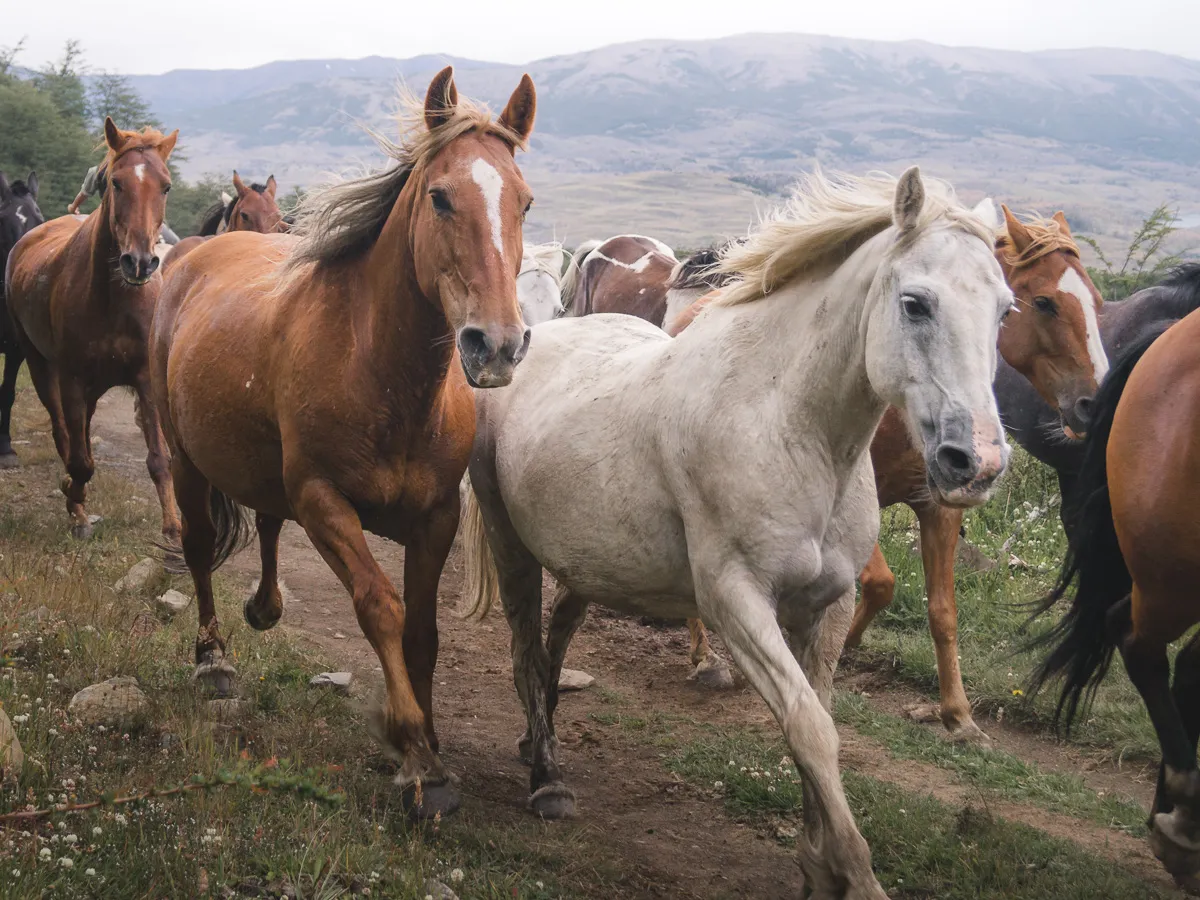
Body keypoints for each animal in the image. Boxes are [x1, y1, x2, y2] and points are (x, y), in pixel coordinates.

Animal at [5, 120, 180, 542]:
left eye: (166, 186)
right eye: (116, 182)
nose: (140, 262)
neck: (115, 297)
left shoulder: (144, 378)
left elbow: (158, 458)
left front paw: (173, 528)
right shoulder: (70, 378)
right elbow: (79, 460)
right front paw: (76, 504)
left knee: (80, 430)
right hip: (41, 366)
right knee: (65, 435)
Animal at [149, 68, 537, 820]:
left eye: (526, 203)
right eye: (441, 196)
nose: (497, 345)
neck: (380, 371)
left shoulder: (437, 516)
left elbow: (422, 628)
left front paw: (430, 738)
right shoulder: (325, 502)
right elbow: (380, 607)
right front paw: (414, 753)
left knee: (267, 519)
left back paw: (264, 608)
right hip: (185, 458)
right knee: (203, 548)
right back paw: (214, 659)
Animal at [459, 167, 1011, 895]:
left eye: (1005, 311)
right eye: (916, 303)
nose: (975, 463)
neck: (788, 425)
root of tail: (531, 343)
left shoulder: (827, 607)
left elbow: (820, 724)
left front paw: (818, 866)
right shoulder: (737, 601)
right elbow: (809, 728)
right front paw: (851, 872)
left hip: (591, 560)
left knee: (557, 634)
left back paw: (537, 735)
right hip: (513, 545)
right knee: (525, 647)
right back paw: (546, 777)